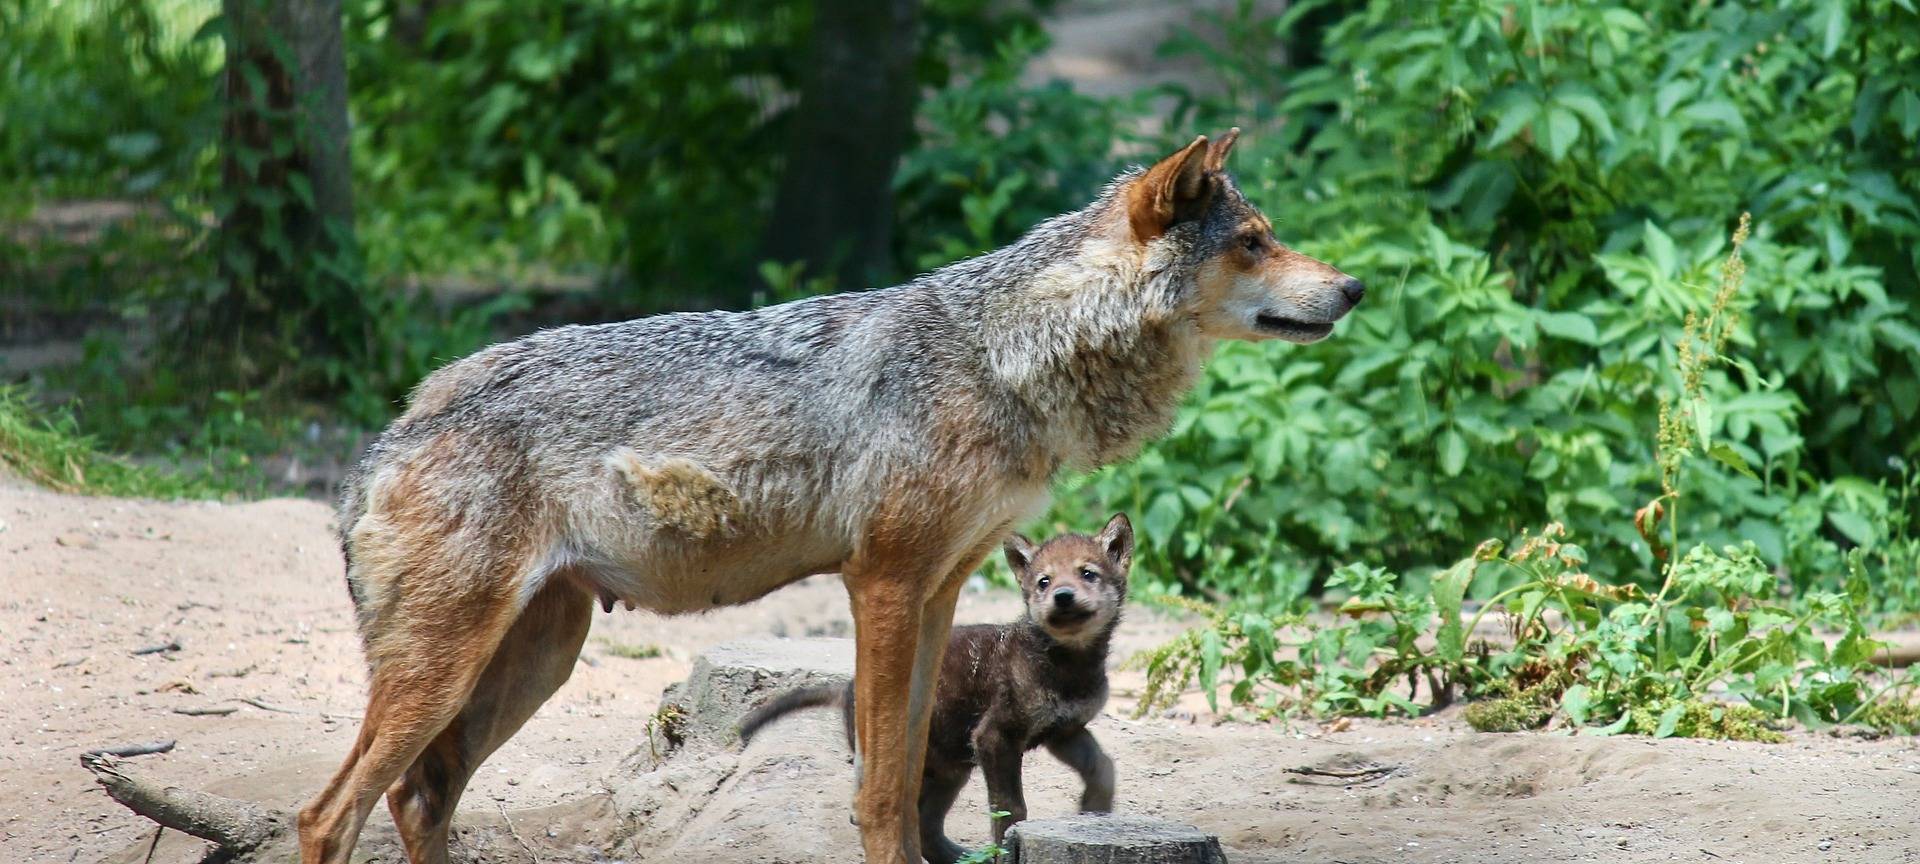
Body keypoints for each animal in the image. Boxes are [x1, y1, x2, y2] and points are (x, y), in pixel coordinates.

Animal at [739, 514, 1136, 864]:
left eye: (1088, 573)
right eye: (1043, 581)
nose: (1063, 596)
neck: (1069, 664)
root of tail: (846, 688)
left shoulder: (1064, 730)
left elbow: (1103, 765)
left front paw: (1094, 811)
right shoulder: (995, 736)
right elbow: (1009, 807)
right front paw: (1006, 848)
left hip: (950, 769)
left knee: (925, 825)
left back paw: (960, 856)